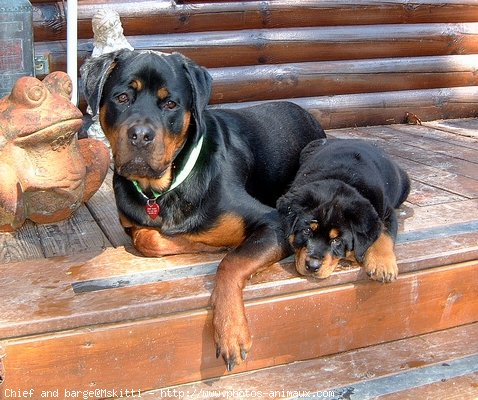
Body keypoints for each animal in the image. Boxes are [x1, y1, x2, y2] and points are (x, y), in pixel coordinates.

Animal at [80, 48, 326, 370]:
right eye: (122, 98)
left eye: (170, 104)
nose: (141, 135)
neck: (166, 185)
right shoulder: (134, 222)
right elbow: (147, 237)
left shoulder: (276, 223)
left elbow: (232, 262)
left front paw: (231, 329)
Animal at [278, 139, 408, 282]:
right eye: (307, 231)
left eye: (337, 240)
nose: (312, 266)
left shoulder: (387, 212)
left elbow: (384, 234)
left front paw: (382, 265)